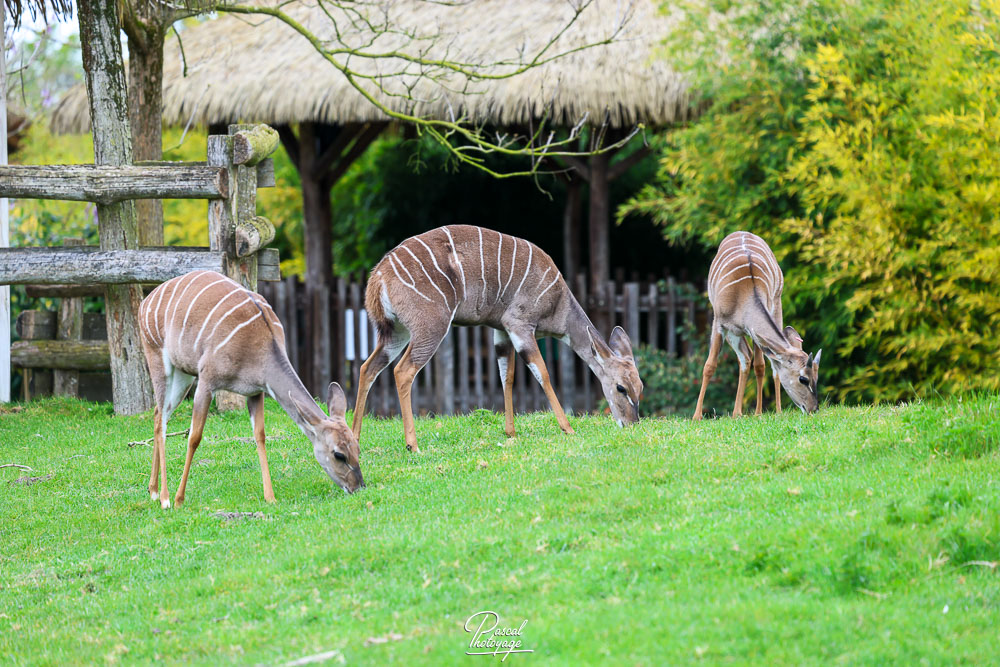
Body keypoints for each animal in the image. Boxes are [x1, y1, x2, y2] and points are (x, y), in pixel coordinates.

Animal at [138, 270, 363, 509]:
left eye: (357, 449)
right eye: (339, 455)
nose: (359, 487)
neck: (261, 346)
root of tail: (145, 301)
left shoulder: (256, 392)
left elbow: (260, 435)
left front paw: (270, 497)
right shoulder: (207, 381)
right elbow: (195, 437)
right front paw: (179, 499)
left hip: (183, 374)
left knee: (158, 413)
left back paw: (153, 490)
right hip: (158, 360)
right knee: (161, 419)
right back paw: (164, 497)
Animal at [351, 224, 643, 453]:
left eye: (640, 388)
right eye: (621, 388)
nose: (632, 424)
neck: (558, 303)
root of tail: (378, 276)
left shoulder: (500, 330)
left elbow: (507, 375)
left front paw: (510, 432)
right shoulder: (519, 324)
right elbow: (542, 372)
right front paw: (567, 428)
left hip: (395, 331)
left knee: (368, 367)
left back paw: (355, 439)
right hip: (430, 328)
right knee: (402, 371)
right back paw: (413, 445)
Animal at [693, 231, 822, 419]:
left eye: (816, 378)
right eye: (803, 379)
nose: (814, 409)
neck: (743, 295)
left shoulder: (753, 330)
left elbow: (760, 366)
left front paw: (758, 412)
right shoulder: (719, 323)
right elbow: (709, 366)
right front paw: (697, 416)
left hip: (776, 305)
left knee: (755, 360)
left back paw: (766, 411)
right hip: (734, 331)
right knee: (746, 357)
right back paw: (736, 413)